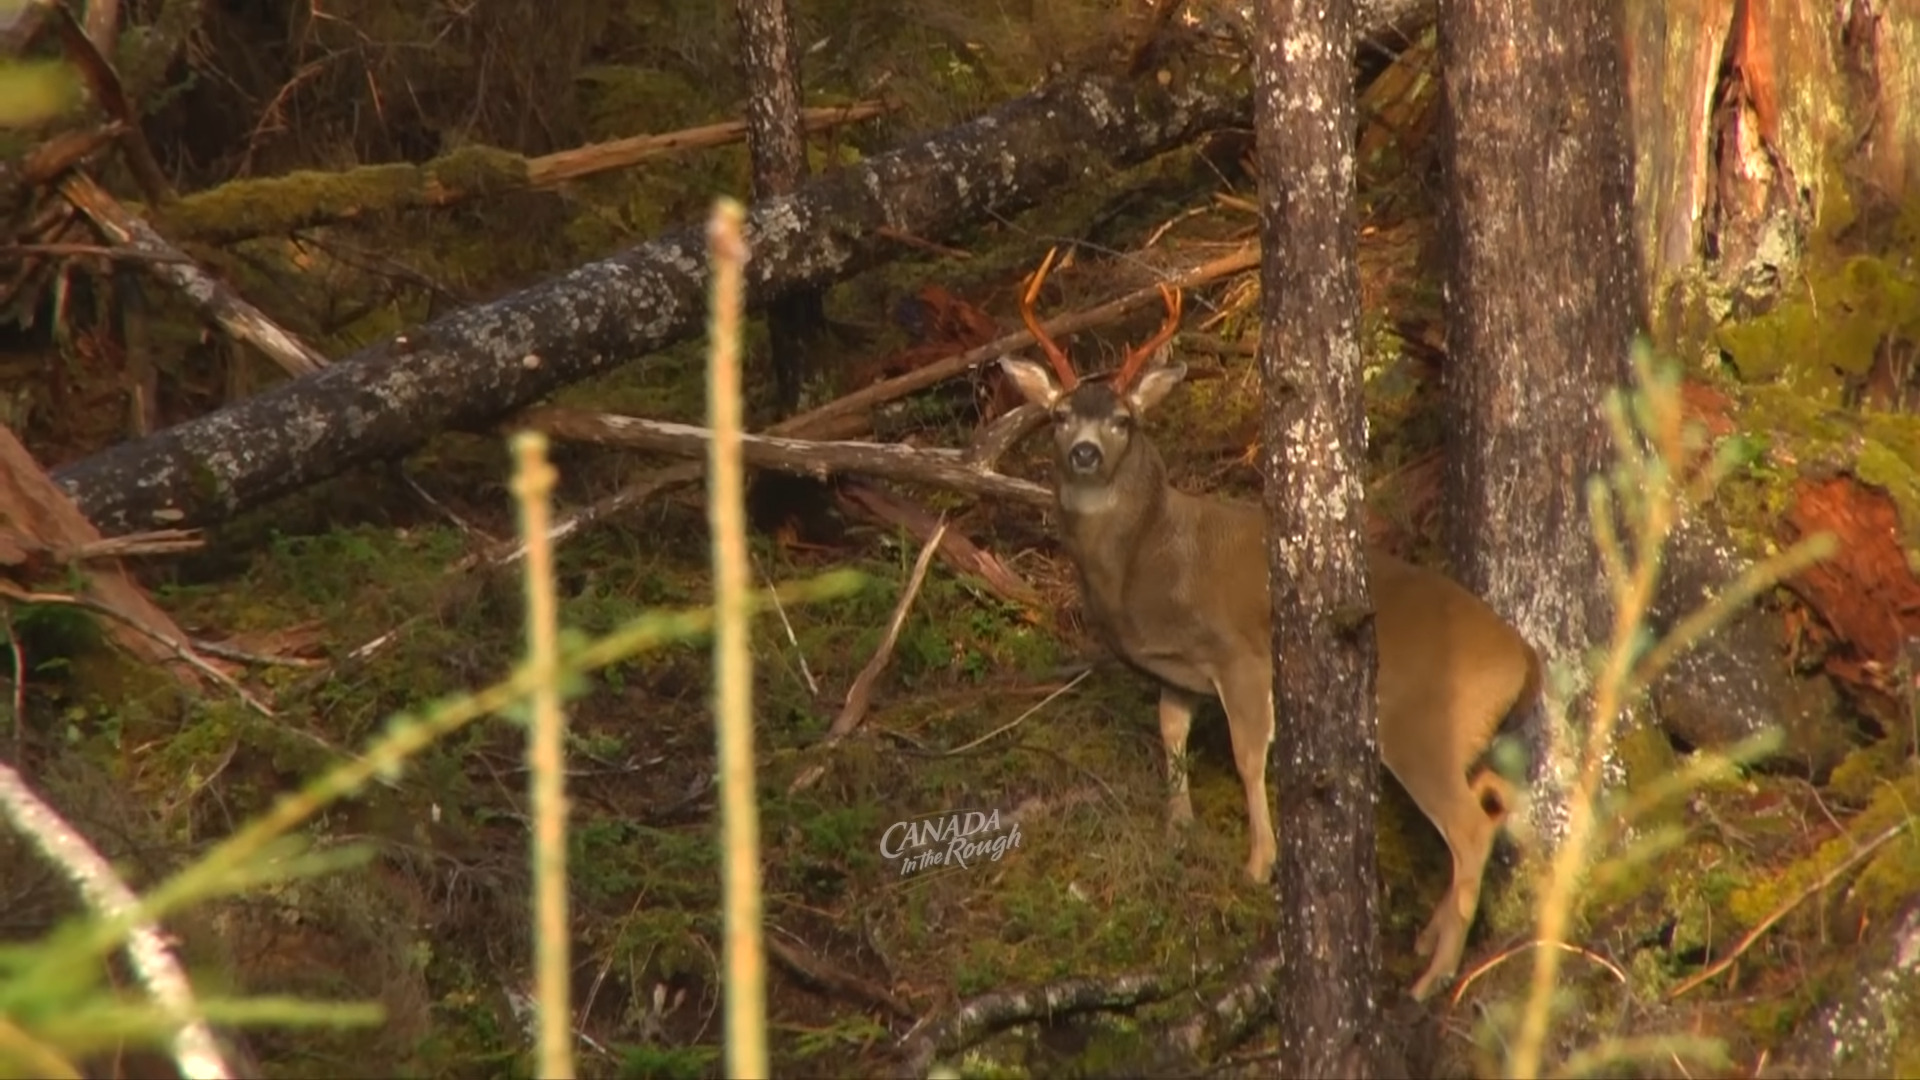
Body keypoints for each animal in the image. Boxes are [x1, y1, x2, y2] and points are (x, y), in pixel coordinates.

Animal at [998, 247, 1551, 999]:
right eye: (1057, 415)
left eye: (1123, 420)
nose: (1084, 452)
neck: (1147, 562)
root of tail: (1525, 656)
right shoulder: (1178, 670)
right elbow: (1170, 734)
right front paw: (1179, 831)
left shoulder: (1240, 654)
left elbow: (1247, 751)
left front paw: (1259, 863)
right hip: (1470, 736)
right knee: (1494, 800)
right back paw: (1430, 939)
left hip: (1423, 724)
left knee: (1469, 825)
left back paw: (1430, 979)